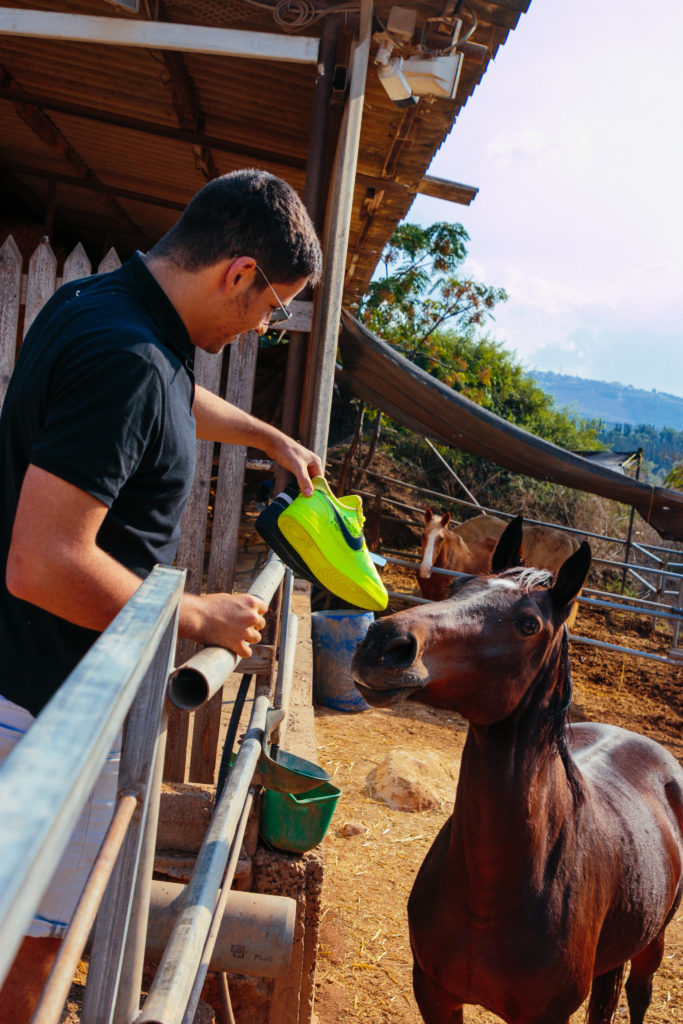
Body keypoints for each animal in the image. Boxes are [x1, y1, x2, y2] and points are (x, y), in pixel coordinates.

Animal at [352, 520, 683, 1024]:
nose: (383, 643)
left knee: (639, 993)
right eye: (458, 587)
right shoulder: (433, 992)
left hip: (654, 941)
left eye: (529, 624)